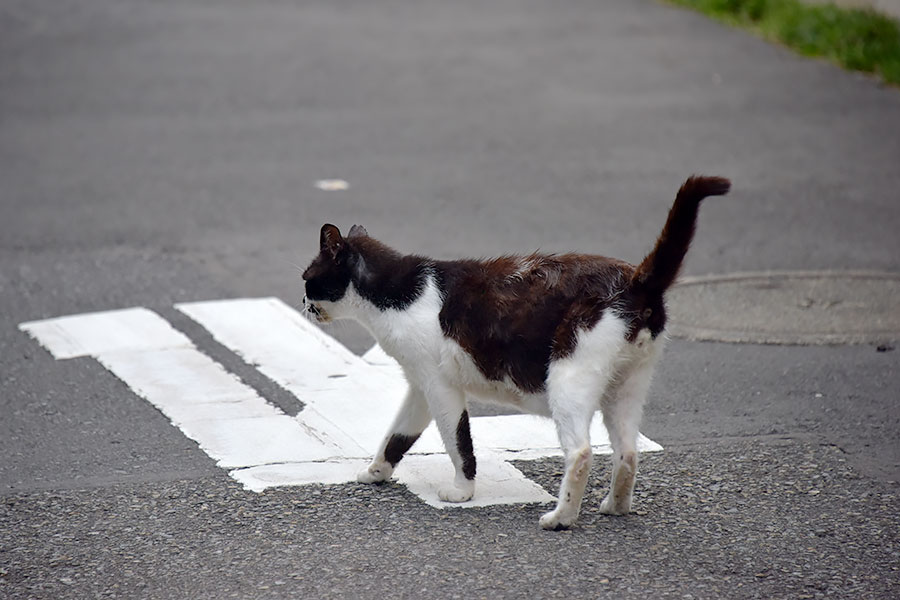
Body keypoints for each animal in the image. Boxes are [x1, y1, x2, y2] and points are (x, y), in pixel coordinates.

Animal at [304, 175, 732, 528]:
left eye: (307, 278)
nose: (303, 302)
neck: (394, 295)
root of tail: (637, 281)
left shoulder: (440, 387)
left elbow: (458, 440)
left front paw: (462, 491)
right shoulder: (420, 385)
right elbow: (397, 436)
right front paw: (376, 472)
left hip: (568, 378)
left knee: (581, 452)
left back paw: (561, 518)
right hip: (626, 387)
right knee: (627, 452)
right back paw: (615, 507)